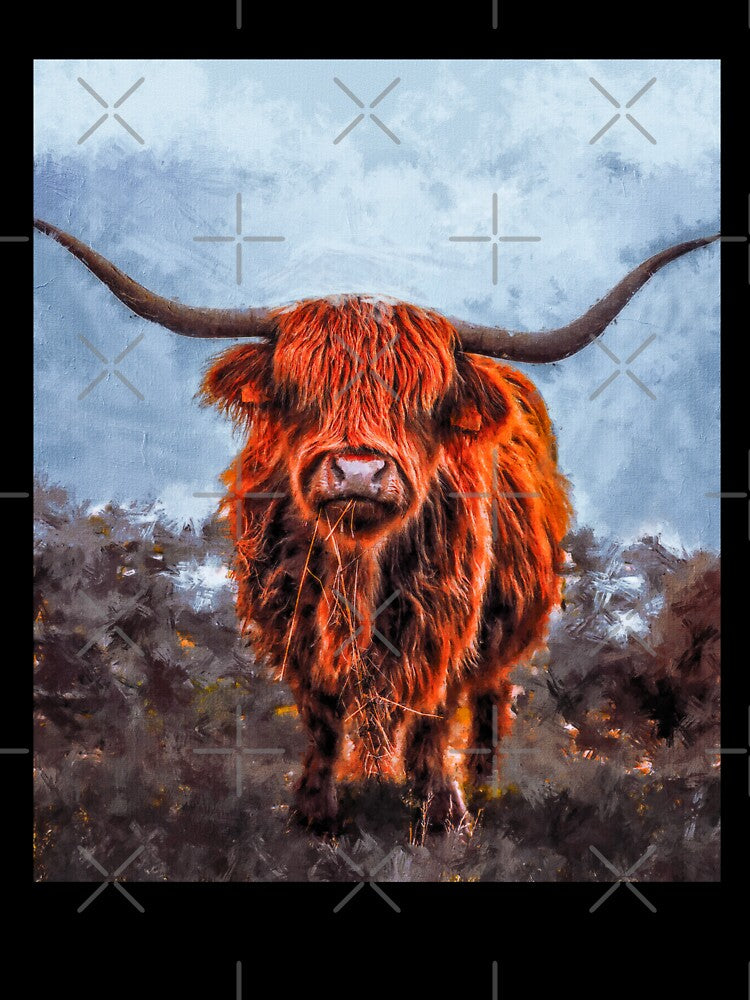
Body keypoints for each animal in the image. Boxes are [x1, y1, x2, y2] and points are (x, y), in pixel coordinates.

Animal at [34, 218, 717, 832]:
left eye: (423, 400)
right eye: (301, 390)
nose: (359, 472)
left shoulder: (447, 619)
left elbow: (434, 714)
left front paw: (440, 811)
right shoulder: (294, 622)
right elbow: (322, 717)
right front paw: (314, 811)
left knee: (490, 700)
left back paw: (483, 789)